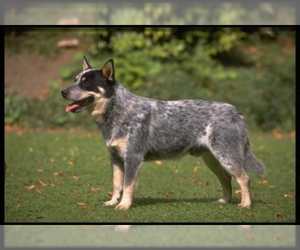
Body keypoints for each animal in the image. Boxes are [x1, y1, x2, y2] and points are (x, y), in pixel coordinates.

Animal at [60, 56, 264, 209]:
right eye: (75, 79)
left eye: (86, 83)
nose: (63, 92)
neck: (119, 110)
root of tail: (237, 112)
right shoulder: (115, 158)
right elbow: (117, 184)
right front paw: (112, 202)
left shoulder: (133, 158)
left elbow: (127, 185)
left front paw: (124, 205)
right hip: (213, 159)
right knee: (227, 178)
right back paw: (225, 200)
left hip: (226, 156)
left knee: (244, 179)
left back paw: (245, 205)